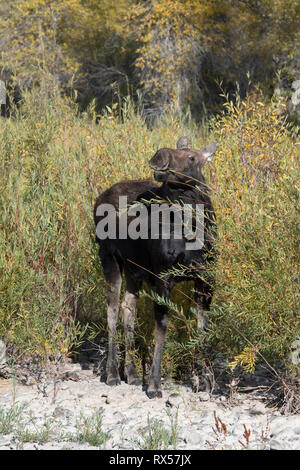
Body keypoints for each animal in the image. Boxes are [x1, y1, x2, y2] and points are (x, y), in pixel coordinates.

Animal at [95, 137, 219, 396]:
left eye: (192, 157)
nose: (159, 157)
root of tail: (97, 200)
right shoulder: (163, 277)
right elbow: (161, 330)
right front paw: (154, 384)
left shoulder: (205, 278)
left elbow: (203, 327)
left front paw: (207, 381)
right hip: (109, 258)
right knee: (111, 309)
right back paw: (112, 374)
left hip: (133, 269)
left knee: (127, 306)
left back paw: (131, 374)